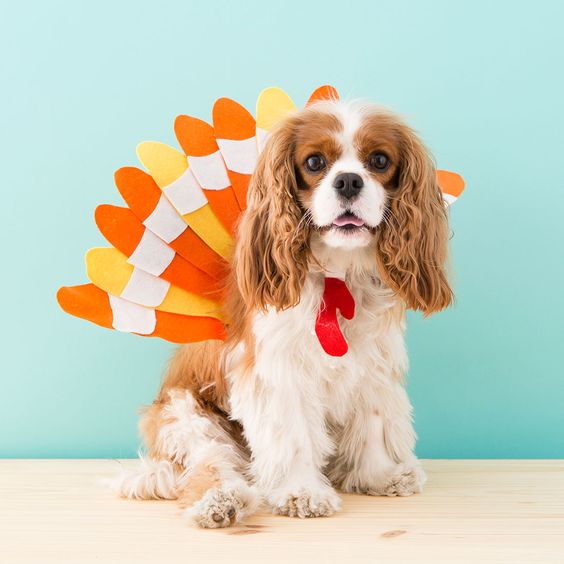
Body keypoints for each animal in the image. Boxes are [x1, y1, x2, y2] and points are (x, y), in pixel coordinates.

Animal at [115, 98, 454, 528]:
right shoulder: (280, 374)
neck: (337, 275)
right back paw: (221, 501)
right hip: (188, 419)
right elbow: (292, 436)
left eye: (379, 160)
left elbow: (373, 421)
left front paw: (377, 474)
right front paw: (302, 491)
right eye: (314, 162)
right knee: (208, 468)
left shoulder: (373, 367)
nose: (348, 181)